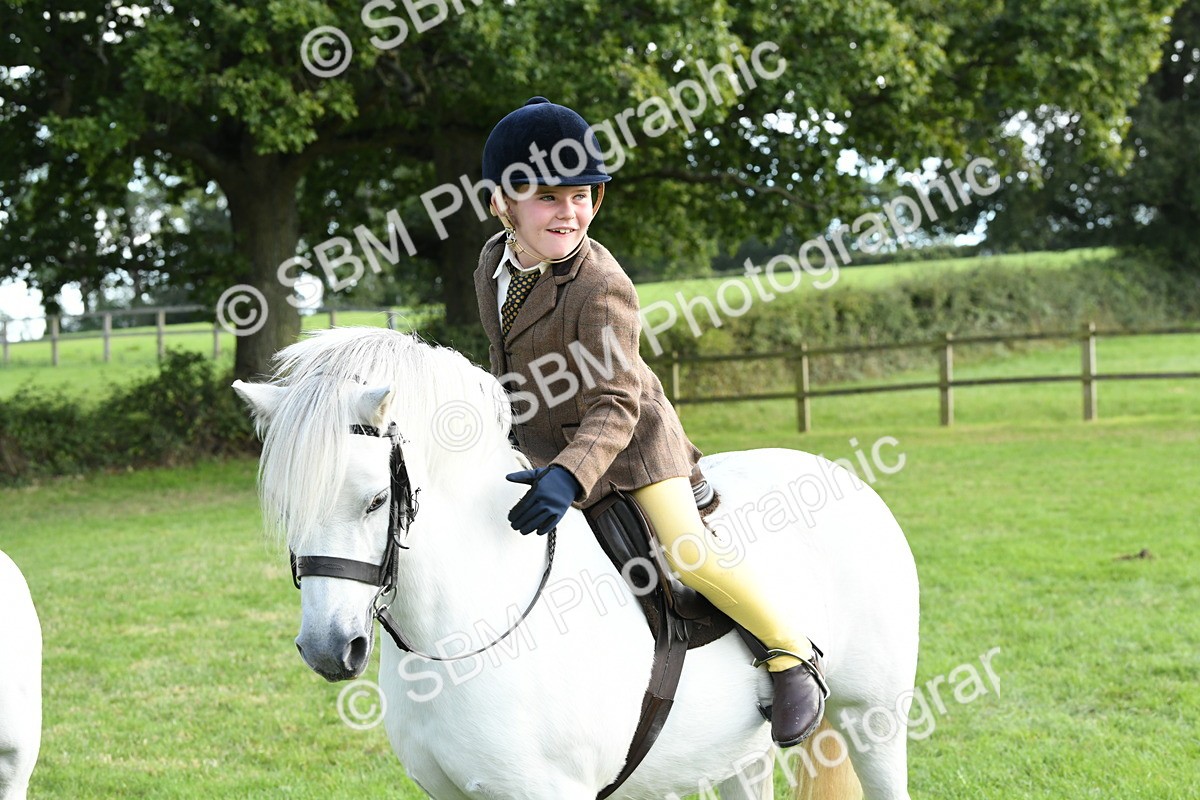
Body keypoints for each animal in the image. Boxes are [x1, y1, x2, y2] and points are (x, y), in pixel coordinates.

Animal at [233, 327, 919, 800]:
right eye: (287, 510)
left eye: (376, 500)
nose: (328, 649)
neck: (473, 626)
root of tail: (840, 476)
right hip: (738, 753)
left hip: (875, 719)